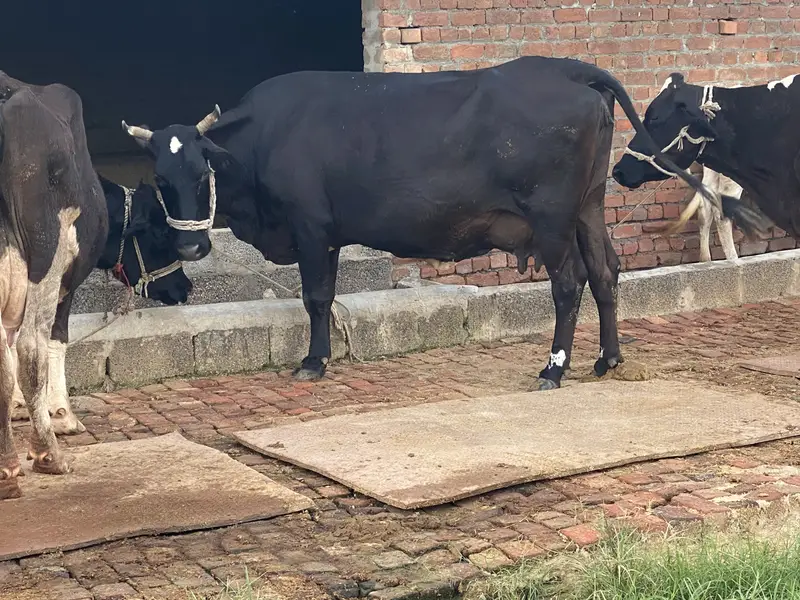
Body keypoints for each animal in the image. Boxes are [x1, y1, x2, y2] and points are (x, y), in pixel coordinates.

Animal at [0, 74, 192, 500]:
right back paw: (47, 454)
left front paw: (21, 408)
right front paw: (60, 415)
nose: (185, 288)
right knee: (32, 346)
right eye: (160, 237)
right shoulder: (66, 282)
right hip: (47, 255)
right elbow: (55, 340)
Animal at [120, 57, 734, 391]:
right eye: (161, 177)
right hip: (588, 207)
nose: (191, 250)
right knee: (606, 274)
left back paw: (553, 368)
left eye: (203, 171)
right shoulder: (328, 233)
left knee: (570, 284)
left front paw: (314, 362)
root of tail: (564, 68)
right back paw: (607, 359)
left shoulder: (311, 227)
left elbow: (316, 296)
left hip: (552, 217)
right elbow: (325, 295)